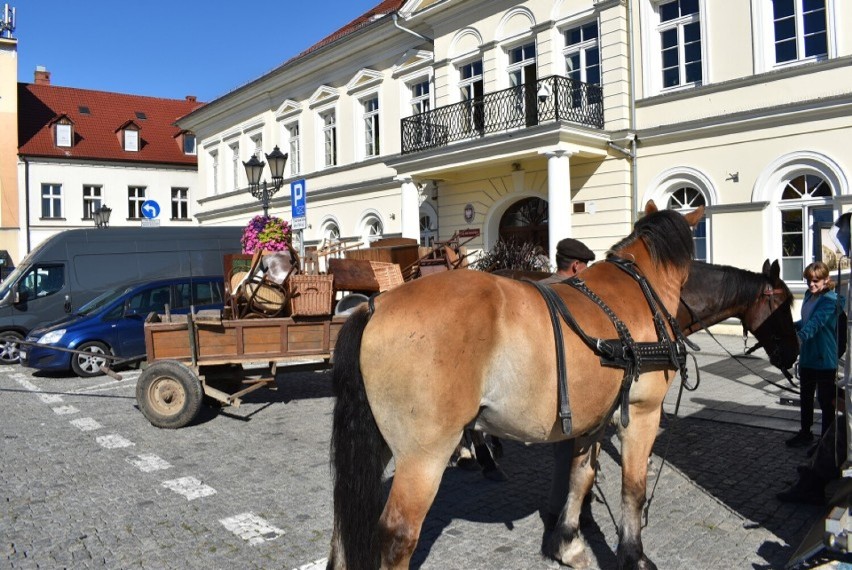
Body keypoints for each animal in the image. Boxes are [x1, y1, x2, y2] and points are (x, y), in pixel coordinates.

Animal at [330, 202, 704, 564]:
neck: (638, 293)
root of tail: (374, 307)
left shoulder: (594, 420)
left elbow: (580, 477)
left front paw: (567, 543)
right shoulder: (643, 413)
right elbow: (634, 488)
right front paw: (633, 555)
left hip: (379, 443)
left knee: (343, 531)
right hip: (424, 454)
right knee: (399, 535)